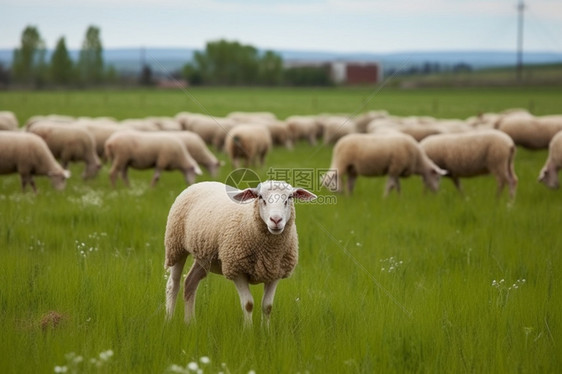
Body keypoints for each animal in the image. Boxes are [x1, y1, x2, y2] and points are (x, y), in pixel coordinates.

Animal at [164, 179, 318, 324]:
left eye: (290, 197)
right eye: (260, 197)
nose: (276, 220)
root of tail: (201, 183)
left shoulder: (276, 273)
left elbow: (267, 307)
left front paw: (266, 331)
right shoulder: (236, 269)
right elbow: (248, 305)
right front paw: (248, 331)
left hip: (204, 257)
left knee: (190, 282)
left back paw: (190, 323)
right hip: (175, 246)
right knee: (173, 285)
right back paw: (169, 320)